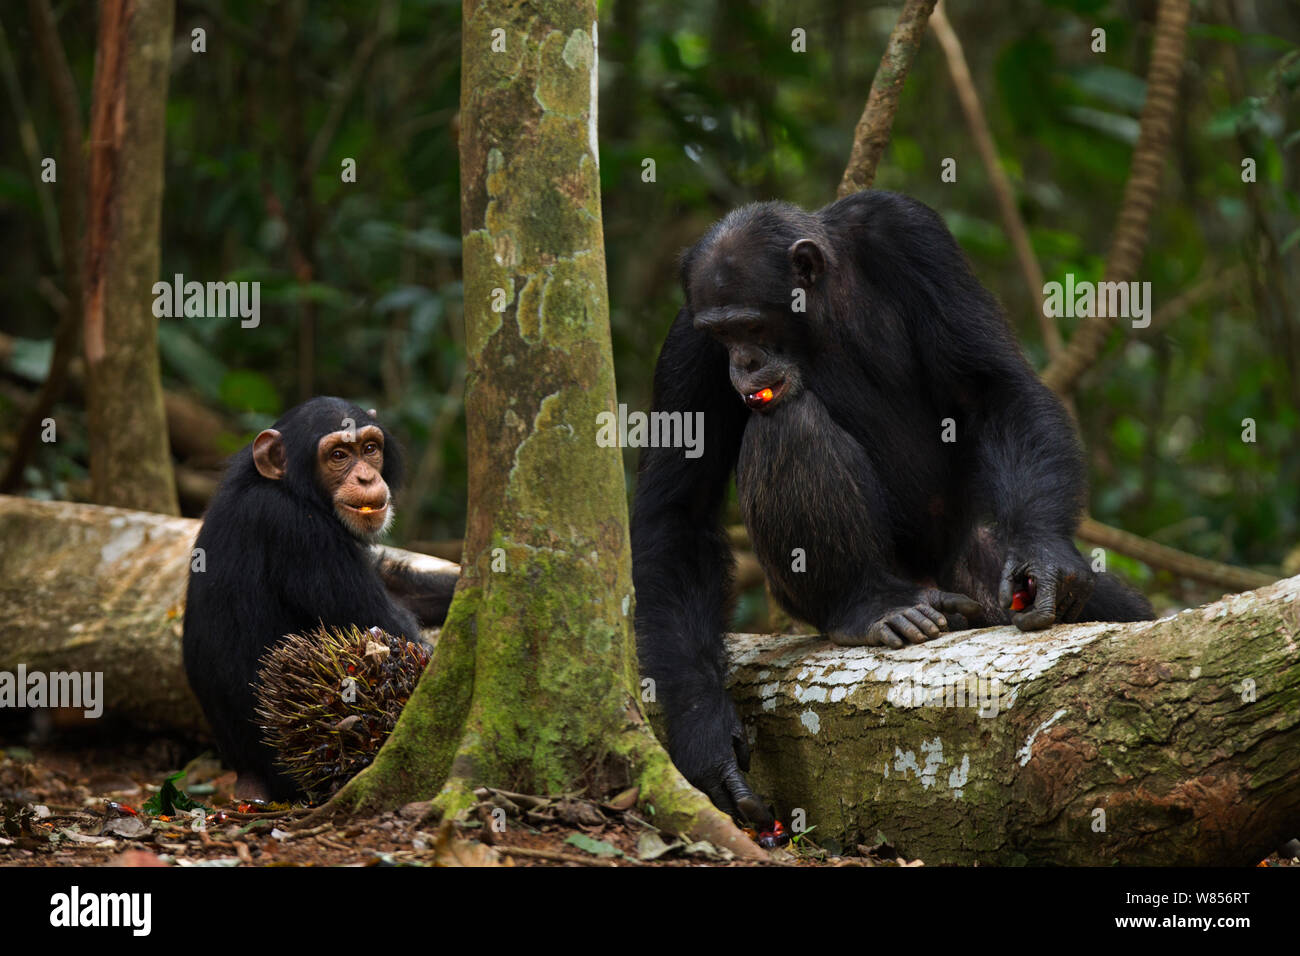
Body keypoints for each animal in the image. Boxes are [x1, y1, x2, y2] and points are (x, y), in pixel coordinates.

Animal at [183, 395, 457, 801]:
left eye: (369, 449)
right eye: (338, 455)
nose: (365, 477)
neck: (292, 490)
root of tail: (247, 778)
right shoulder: (301, 532)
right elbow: (398, 634)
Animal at [634, 192, 1154, 822]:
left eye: (751, 326)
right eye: (721, 334)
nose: (743, 363)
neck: (818, 310)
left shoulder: (910, 234)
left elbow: (992, 387)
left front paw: (1045, 557)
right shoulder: (687, 341)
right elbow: (677, 510)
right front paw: (708, 740)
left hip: (975, 574)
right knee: (787, 421)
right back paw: (873, 606)